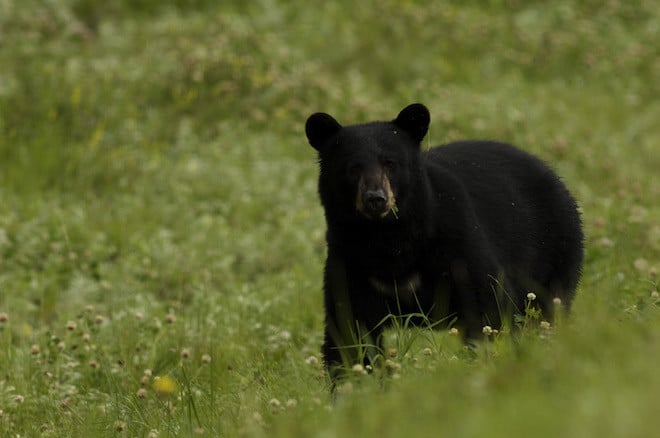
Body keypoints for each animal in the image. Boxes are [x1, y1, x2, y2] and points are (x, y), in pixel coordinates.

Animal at [304, 102, 584, 380]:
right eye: (353, 168)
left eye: (390, 163)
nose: (376, 198)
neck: (388, 238)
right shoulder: (350, 261)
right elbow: (349, 330)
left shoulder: (456, 243)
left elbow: (487, 305)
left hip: (553, 253)